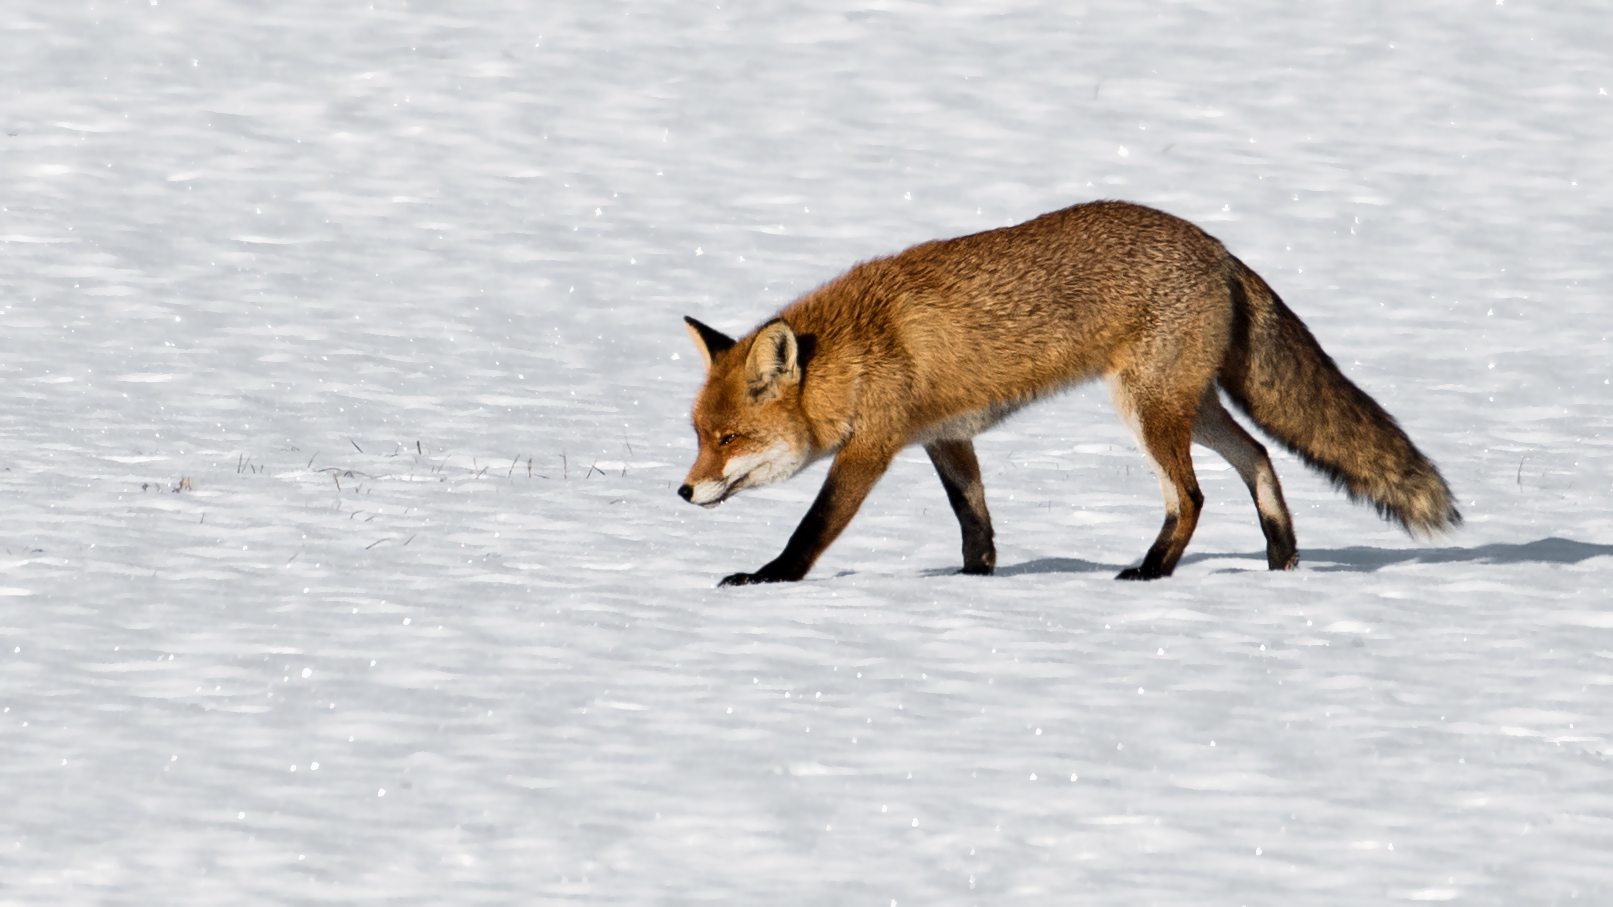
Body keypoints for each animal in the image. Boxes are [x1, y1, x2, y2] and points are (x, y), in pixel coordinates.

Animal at [680, 199, 1464, 587]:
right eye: (697, 436)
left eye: (729, 439)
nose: (683, 492)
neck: (853, 350)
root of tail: (1216, 246)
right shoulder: (946, 436)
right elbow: (974, 521)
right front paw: (973, 587)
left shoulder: (872, 447)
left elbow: (812, 527)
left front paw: (769, 578)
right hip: (1192, 406)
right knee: (1260, 457)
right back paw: (1280, 562)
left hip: (1147, 409)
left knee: (1192, 496)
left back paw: (1150, 572)